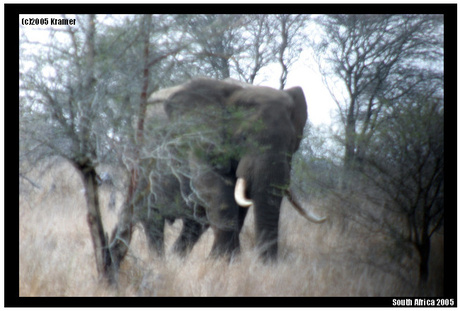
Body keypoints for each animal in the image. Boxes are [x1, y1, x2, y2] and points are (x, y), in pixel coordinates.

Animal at [135, 77, 326, 260]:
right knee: (152, 220)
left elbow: (239, 206)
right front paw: (222, 261)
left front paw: (225, 261)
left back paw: (175, 259)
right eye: (243, 138)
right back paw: (159, 261)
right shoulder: (198, 138)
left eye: (292, 143)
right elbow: (214, 189)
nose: (267, 265)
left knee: (195, 225)